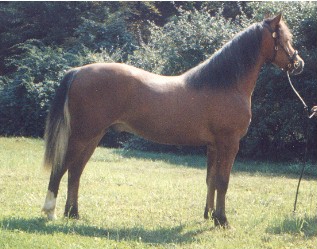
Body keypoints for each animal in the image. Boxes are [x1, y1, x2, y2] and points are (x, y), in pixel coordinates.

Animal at [42, 14, 304, 228]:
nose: (298, 63)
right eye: (285, 38)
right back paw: (50, 212)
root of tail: (78, 71)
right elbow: (223, 181)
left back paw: (73, 214)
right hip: (82, 136)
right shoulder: (229, 143)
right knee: (60, 168)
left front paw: (209, 215)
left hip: (94, 136)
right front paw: (222, 221)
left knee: (75, 172)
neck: (225, 84)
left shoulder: (213, 146)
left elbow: (211, 180)